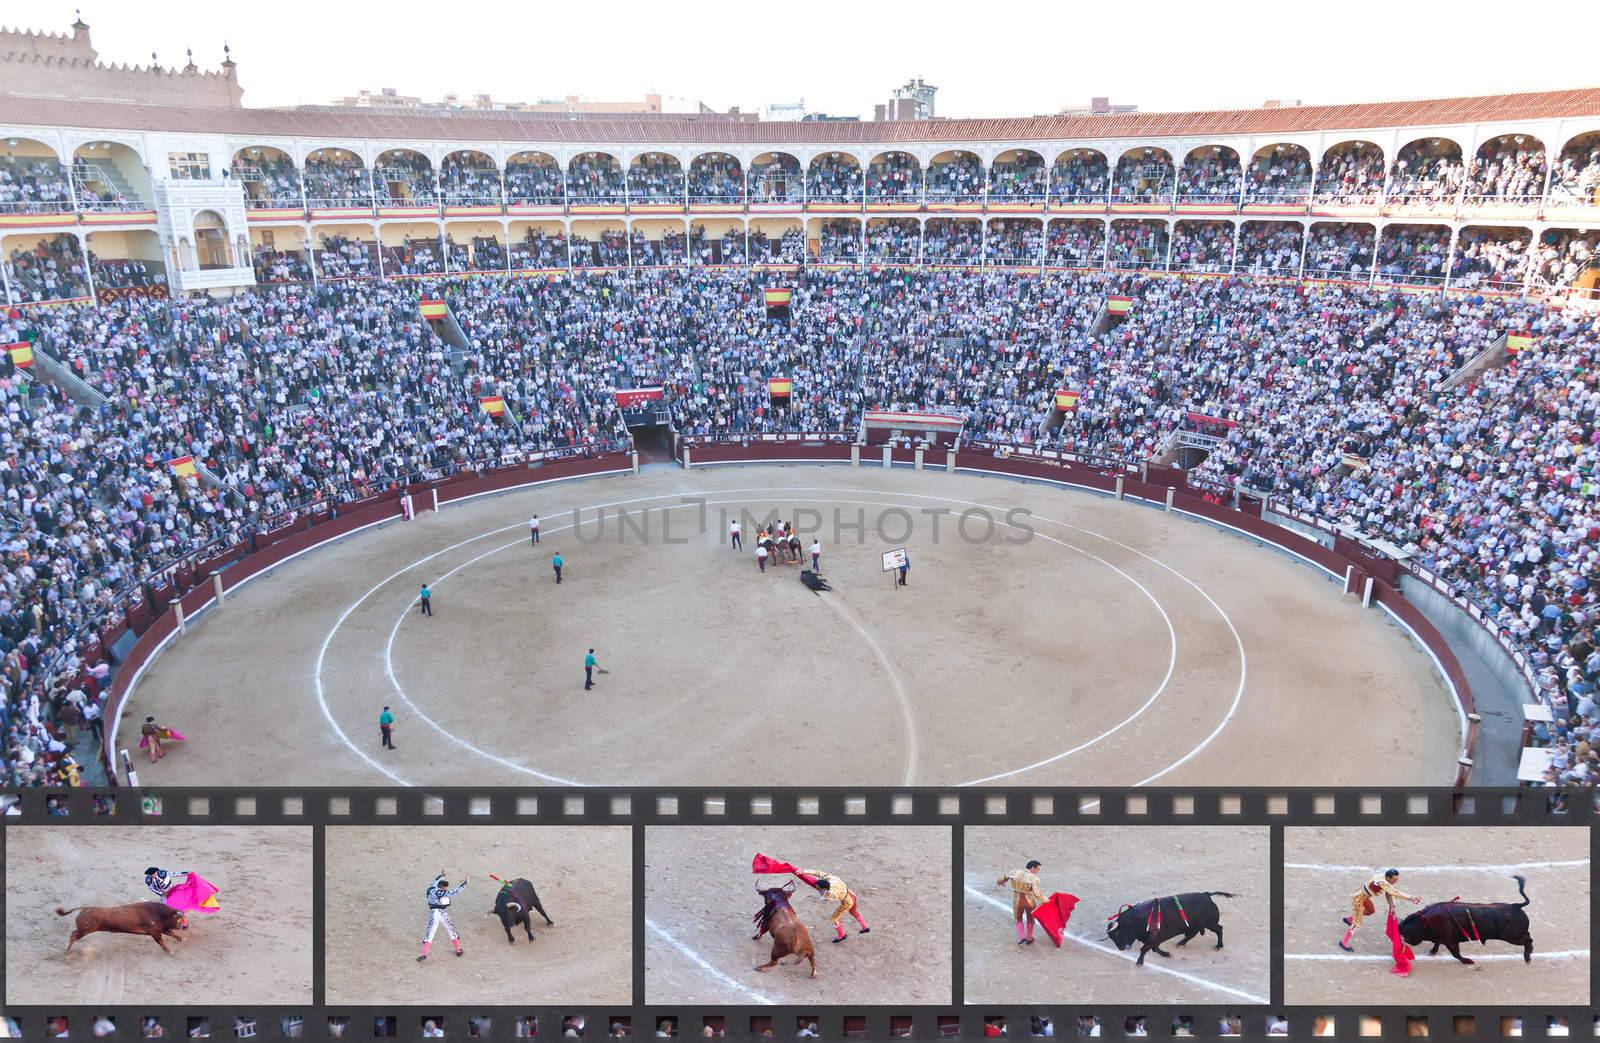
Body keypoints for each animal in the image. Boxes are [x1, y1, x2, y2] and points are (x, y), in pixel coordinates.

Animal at [58, 902, 187, 959]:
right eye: (180, 920)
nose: (185, 927)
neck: (159, 913)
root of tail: (85, 908)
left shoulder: (160, 929)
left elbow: (170, 933)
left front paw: (180, 939)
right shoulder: (154, 932)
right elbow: (162, 942)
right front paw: (170, 952)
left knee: (73, 934)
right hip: (85, 930)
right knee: (74, 935)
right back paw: (67, 951)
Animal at [1107, 889, 1241, 966]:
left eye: (1117, 933)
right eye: (1112, 937)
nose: (1121, 948)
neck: (1135, 920)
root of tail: (1206, 895)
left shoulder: (1154, 937)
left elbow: (1145, 949)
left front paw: (1139, 962)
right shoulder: (1154, 938)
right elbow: (1154, 948)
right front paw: (1166, 954)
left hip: (1210, 923)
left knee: (1219, 929)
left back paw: (1219, 946)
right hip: (1193, 926)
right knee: (1192, 934)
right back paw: (1181, 943)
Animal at [1401, 870, 1536, 966]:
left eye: (1407, 935)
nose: (1408, 942)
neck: (1425, 921)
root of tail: (1516, 906)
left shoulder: (1450, 941)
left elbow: (1455, 953)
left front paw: (1468, 961)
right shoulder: (1441, 938)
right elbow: (1437, 944)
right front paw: (1432, 952)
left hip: (1511, 937)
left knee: (1528, 940)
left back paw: (1527, 958)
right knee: (1528, 936)